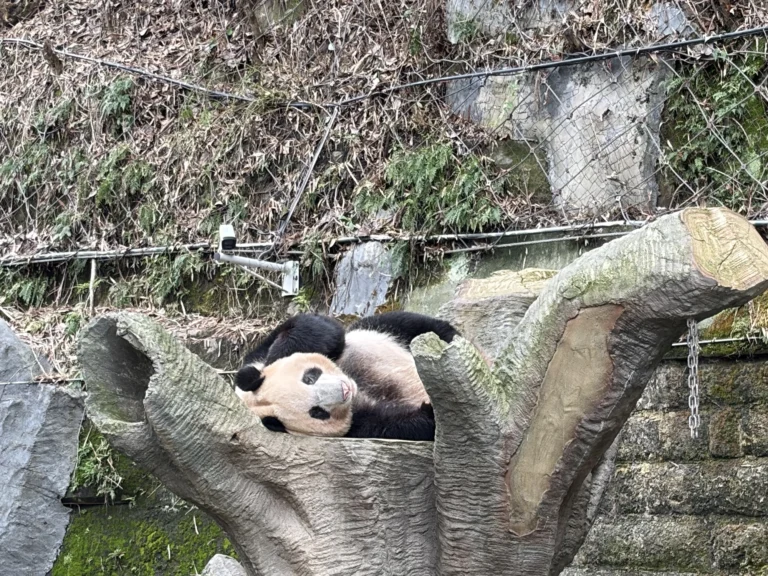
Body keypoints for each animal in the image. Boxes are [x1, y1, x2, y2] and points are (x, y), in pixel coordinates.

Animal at [233, 311, 460, 441]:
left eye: (309, 378)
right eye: (317, 412)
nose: (344, 389)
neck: (356, 382)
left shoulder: (256, 356)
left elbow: (317, 327)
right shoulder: (357, 424)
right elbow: (393, 423)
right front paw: (432, 413)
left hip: (385, 330)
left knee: (420, 326)